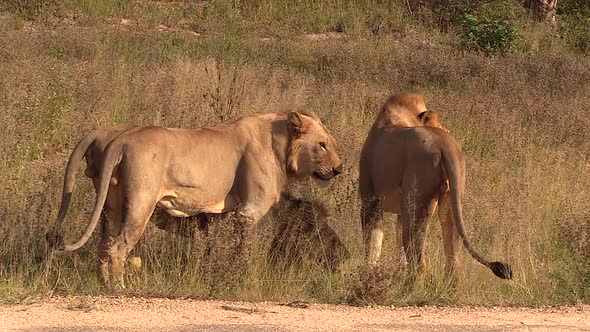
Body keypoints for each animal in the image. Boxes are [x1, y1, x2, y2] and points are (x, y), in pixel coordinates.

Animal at [51, 111, 344, 288]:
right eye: (322, 144)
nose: (339, 169)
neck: (280, 146)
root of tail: (120, 140)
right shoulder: (249, 211)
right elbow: (245, 249)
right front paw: (240, 278)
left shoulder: (220, 214)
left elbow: (215, 248)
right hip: (140, 204)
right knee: (118, 247)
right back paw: (120, 288)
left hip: (110, 203)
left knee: (104, 244)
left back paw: (104, 284)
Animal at [360, 92, 512, 284]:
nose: (447, 129)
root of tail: (444, 143)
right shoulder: (400, 211)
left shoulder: (370, 200)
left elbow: (372, 246)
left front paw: (368, 274)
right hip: (450, 199)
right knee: (453, 262)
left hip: (417, 202)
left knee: (418, 262)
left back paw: (406, 288)